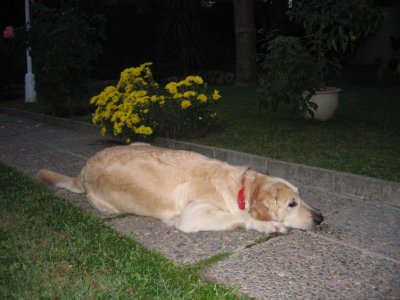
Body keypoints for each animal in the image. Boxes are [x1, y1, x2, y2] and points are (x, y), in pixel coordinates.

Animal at [37, 144, 324, 234]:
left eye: (301, 197)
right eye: (291, 204)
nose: (321, 217)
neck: (241, 187)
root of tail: (83, 168)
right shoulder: (192, 215)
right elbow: (240, 217)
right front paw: (269, 226)